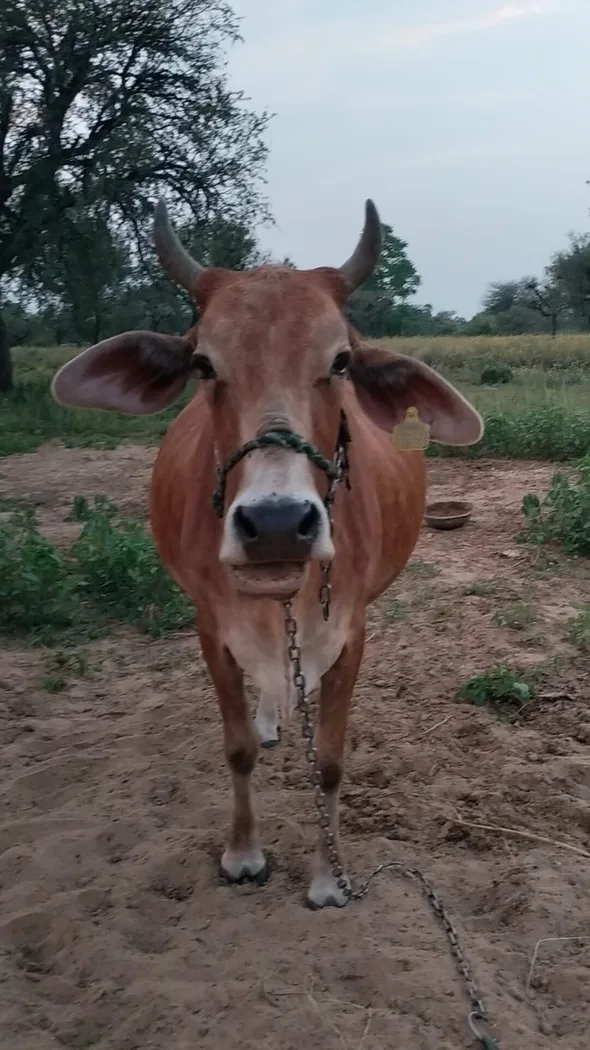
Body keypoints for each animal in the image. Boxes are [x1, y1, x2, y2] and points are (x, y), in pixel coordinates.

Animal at [51, 199, 483, 909]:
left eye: (342, 360)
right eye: (202, 364)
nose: (278, 524)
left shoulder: (352, 631)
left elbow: (329, 762)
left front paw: (328, 878)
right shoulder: (211, 627)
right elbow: (237, 750)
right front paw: (243, 853)